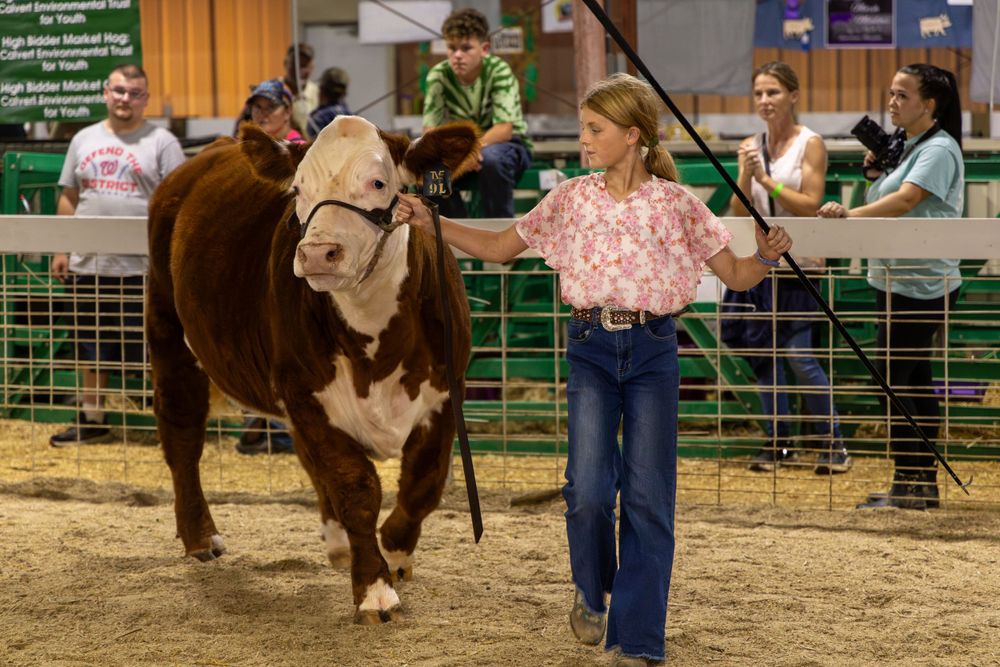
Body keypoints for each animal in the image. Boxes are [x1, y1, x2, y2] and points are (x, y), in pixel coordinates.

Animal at [146, 116, 479, 624]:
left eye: (378, 182)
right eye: (298, 188)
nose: (319, 253)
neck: (375, 338)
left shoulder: (445, 391)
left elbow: (423, 484)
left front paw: (394, 552)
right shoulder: (305, 392)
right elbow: (355, 487)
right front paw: (374, 591)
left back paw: (338, 544)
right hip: (167, 330)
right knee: (182, 435)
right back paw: (200, 537)